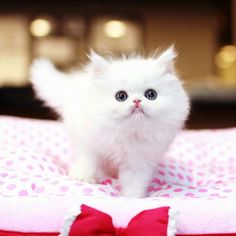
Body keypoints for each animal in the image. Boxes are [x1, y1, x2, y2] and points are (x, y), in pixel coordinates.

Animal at [30, 46, 190, 197]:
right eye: (121, 96)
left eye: (151, 94)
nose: (137, 101)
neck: (128, 133)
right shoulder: (89, 145)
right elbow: (87, 162)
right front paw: (83, 178)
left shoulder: (139, 163)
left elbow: (133, 184)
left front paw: (131, 198)